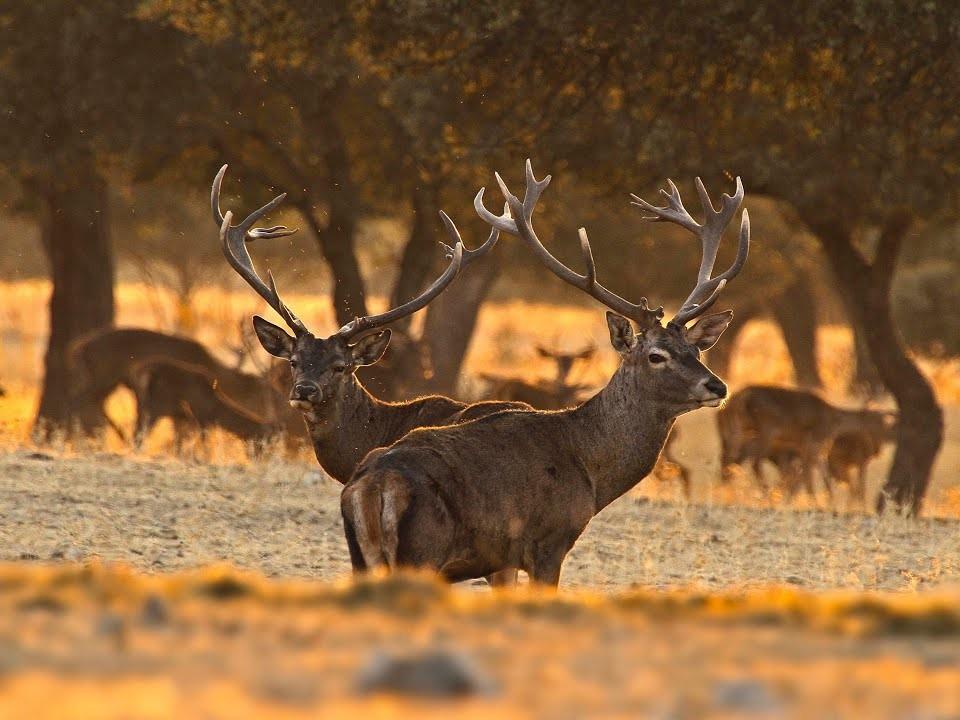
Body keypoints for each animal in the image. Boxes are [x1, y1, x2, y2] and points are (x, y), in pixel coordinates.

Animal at [342, 159, 752, 584]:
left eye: (696, 350)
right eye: (656, 355)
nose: (718, 386)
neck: (590, 469)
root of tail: (373, 486)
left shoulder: (501, 559)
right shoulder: (548, 542)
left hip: (363, 556)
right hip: (423, 553)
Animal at [724, 386, 896, 504]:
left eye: (881, 422)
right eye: (874, 420)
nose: (875, 449)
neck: (834, 421)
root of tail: (743, 399)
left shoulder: (810, 445)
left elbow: (818, 474)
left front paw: (829, 501)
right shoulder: (814, 440)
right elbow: (808, 473)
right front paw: (814, 500)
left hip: (743, 429)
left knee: (735, 459)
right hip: (768, 429)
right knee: (754, 461)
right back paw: (766, 494)